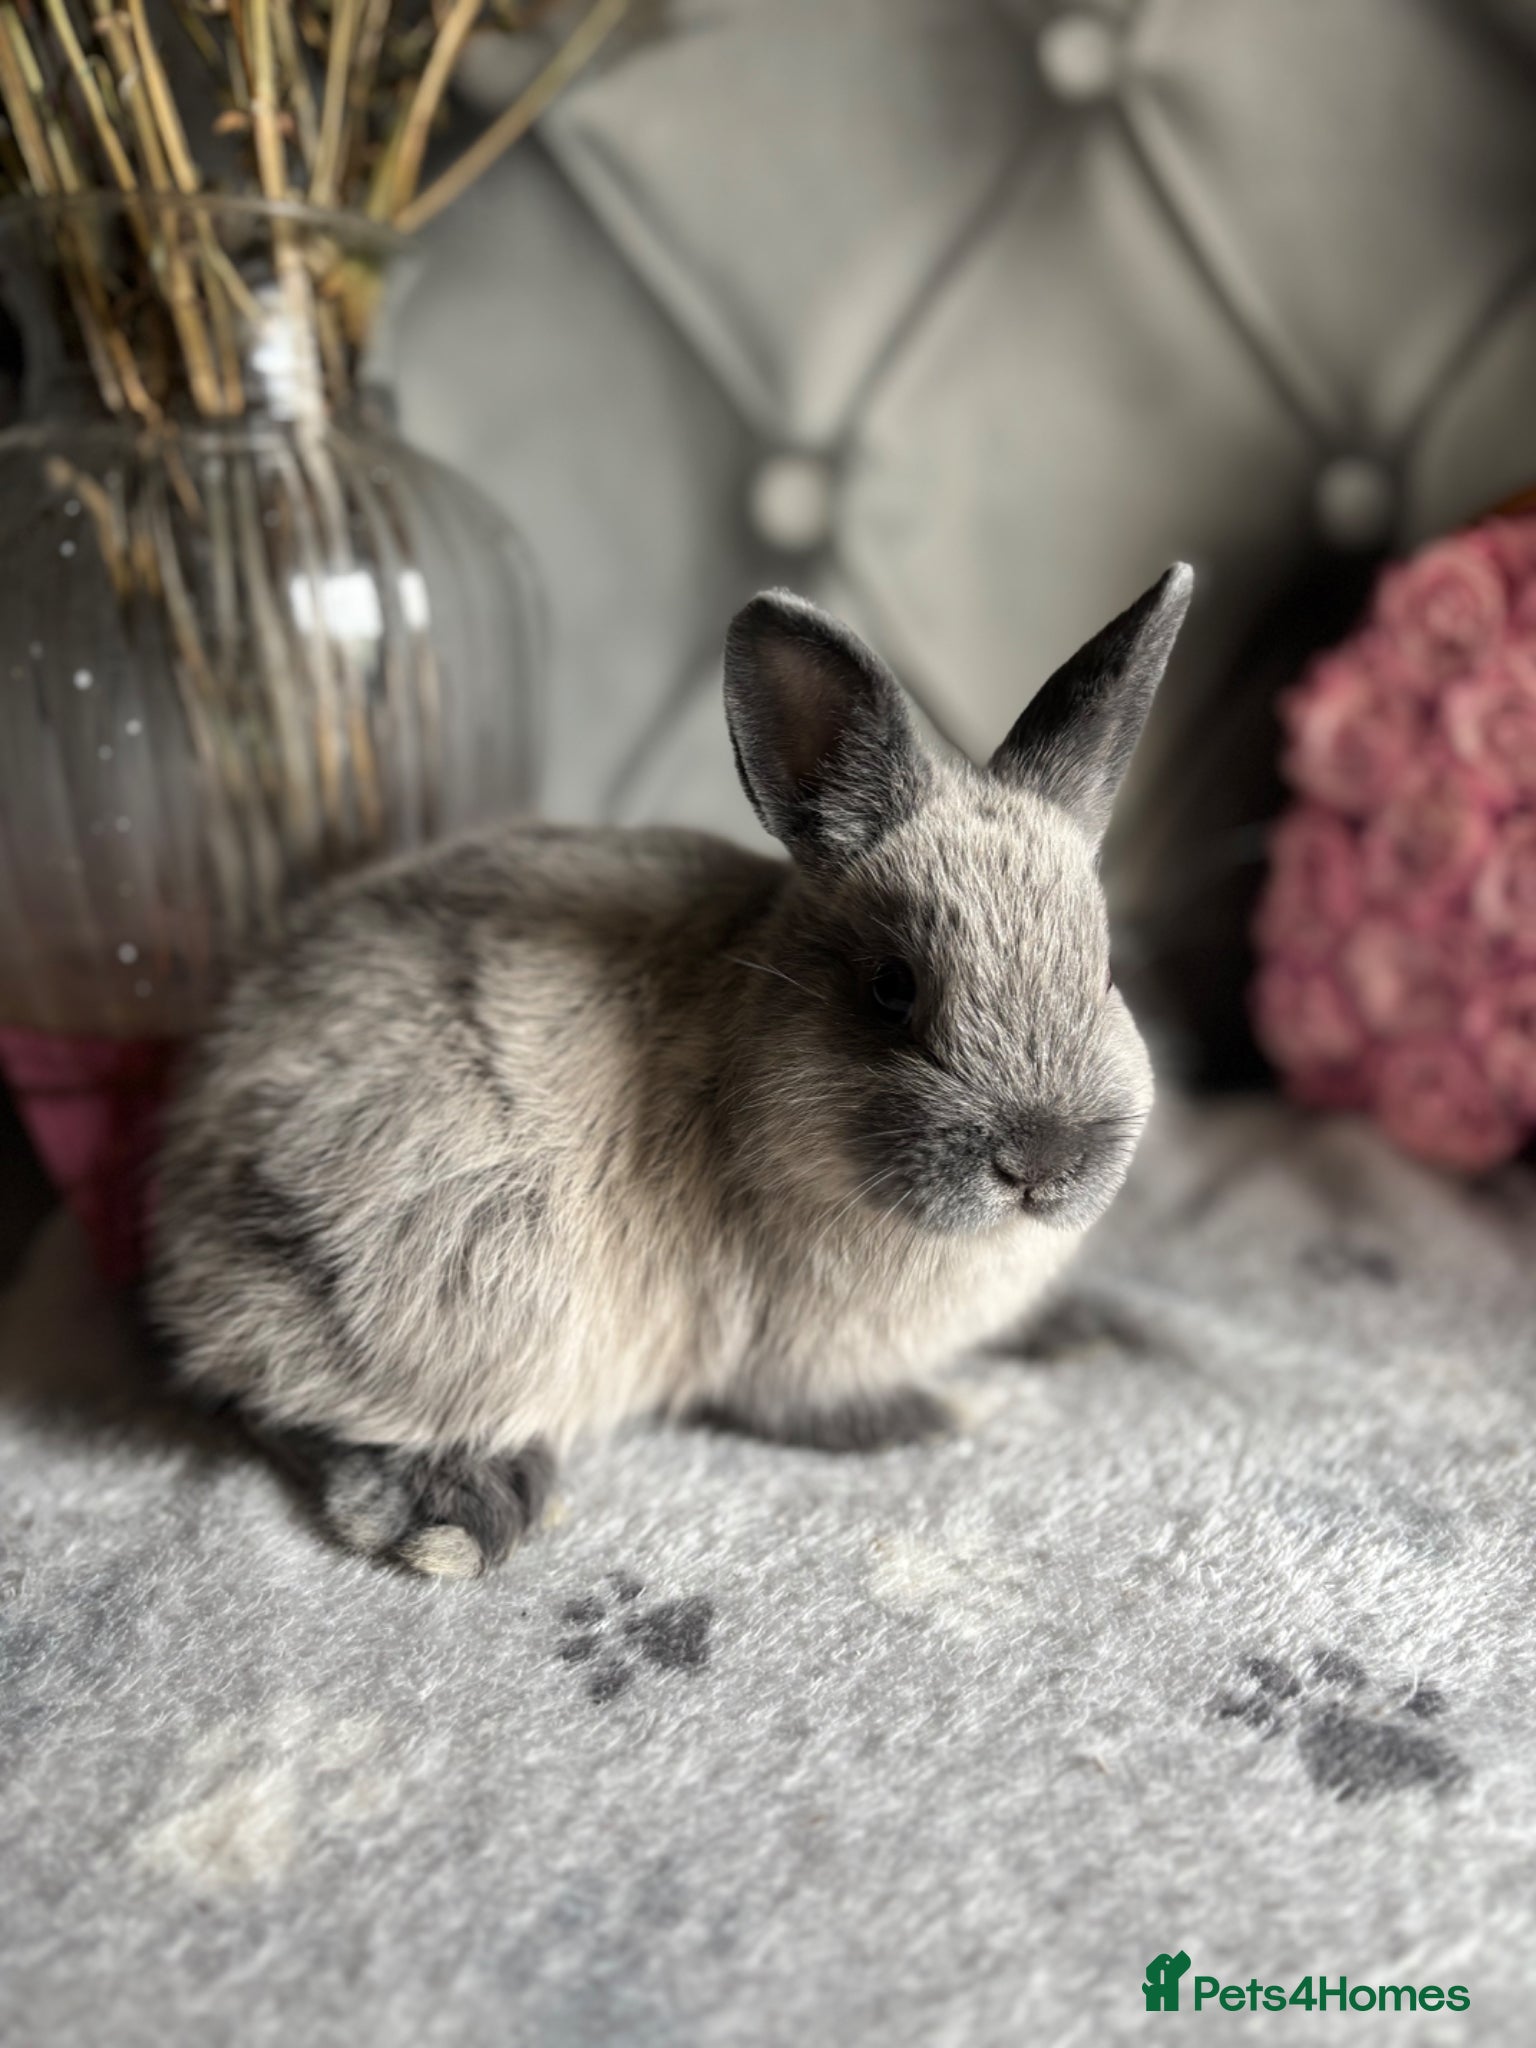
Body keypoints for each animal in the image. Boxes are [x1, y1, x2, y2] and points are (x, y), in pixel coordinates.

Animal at [148, 564, 1193, 1578]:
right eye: (890, 988)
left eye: (1106, 973)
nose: (1041, 1163)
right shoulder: (780, 1350)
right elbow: (813, 1416)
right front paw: (939, 1415)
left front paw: (1087, 1329)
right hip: (475, 1290)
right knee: (282, 1402)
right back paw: (459, 1515)